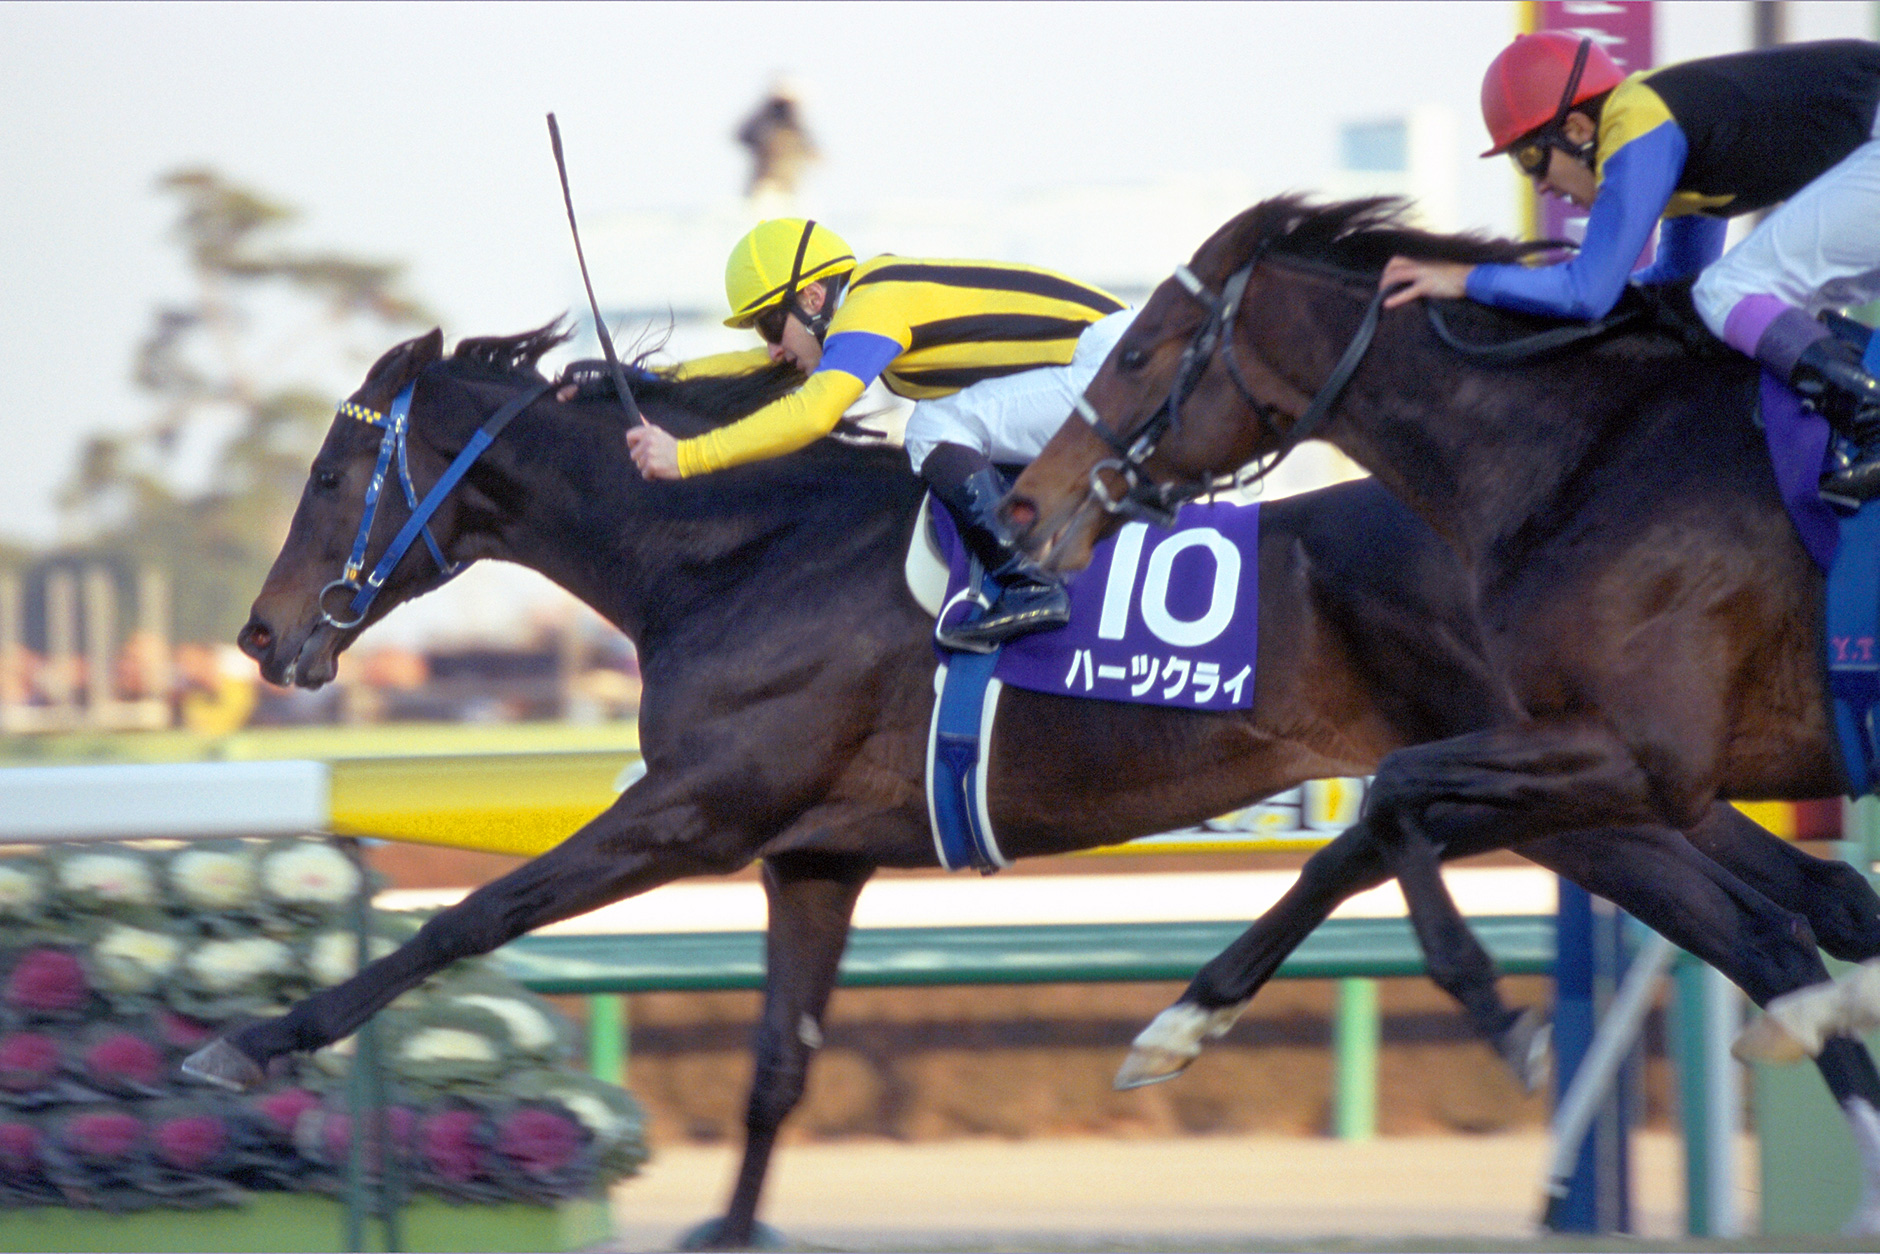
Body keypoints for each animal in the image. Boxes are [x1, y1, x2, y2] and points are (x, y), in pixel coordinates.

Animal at [1005, 194, 1880, 1222]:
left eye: (1138, 352)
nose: (1024, 506)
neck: (1583, 459)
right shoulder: (1619, 763)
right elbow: (1373, 829)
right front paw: (1185, 1021)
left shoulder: (1641, 751)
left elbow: (1390, 795)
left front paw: (1498, 1010)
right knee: (1814, 908)